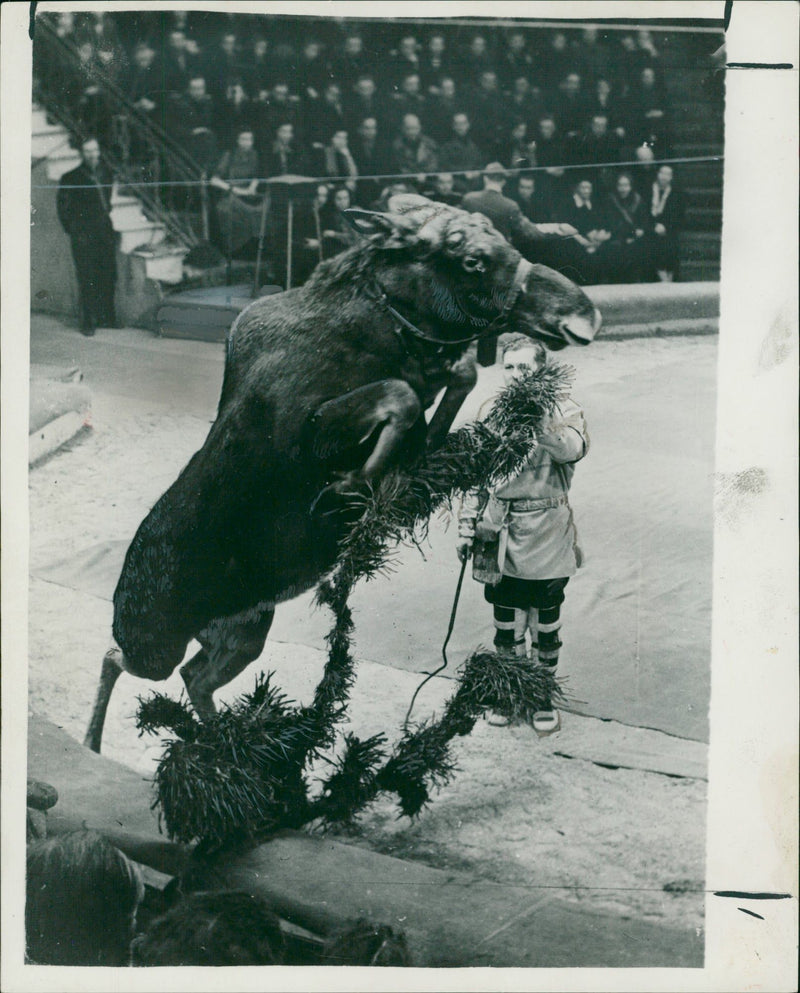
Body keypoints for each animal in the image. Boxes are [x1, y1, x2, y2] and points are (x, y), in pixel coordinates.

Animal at [87, 194, 600, 752]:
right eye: (471, 259)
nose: (583, 311)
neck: (389, 329)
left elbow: (455, 379)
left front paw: (411, 457)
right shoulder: (313, 429)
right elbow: (398, 395)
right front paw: (356, 484)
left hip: (244, 631)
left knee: (194, 677)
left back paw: (227, 741)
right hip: (155, 647)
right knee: (116, 658)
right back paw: (102, 742)